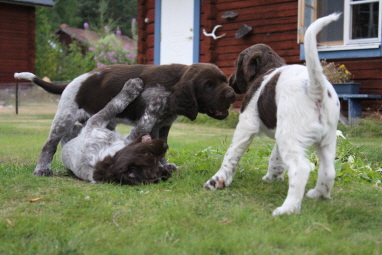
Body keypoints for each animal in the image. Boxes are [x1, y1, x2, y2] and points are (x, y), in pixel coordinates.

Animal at [15, 62, 236, 176]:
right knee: (50, 145)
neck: (173, 82)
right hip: (65, 116)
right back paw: (42, 168)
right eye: (208, 85)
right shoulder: (151, 121)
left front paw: (165, 165)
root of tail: (72, 82)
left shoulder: (164, 125)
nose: (233, 95)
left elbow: (163, 145)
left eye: (224, 80)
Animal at [204, 12, 342, 215]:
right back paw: (319, 194)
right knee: (328, 170)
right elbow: (276, 158)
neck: (268, 69)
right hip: (324, 138)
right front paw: (273, 177)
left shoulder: (246, 124)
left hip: (293, 138)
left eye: (237, 63)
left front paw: (217, 181)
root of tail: (315, 89)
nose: (230, 82)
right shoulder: (280, 130)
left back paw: (288, 209)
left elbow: (231, 155)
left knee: (301, 168)